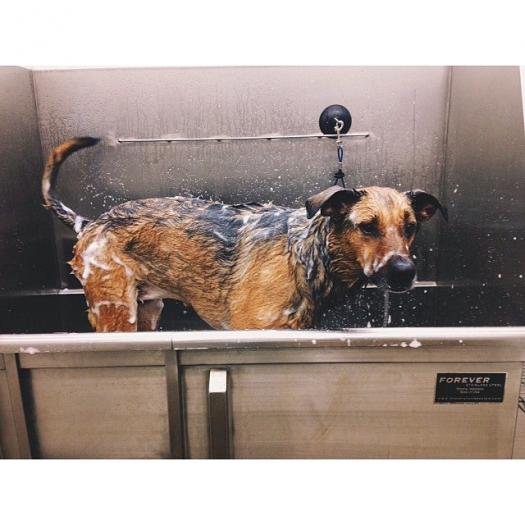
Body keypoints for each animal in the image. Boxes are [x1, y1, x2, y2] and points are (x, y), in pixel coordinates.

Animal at [42, 137, 447, 332]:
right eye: (367, 227)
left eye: (410, 227)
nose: (404, 273)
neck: (308, 256)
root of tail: (89, 223)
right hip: (115, 312)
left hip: (148, 310)